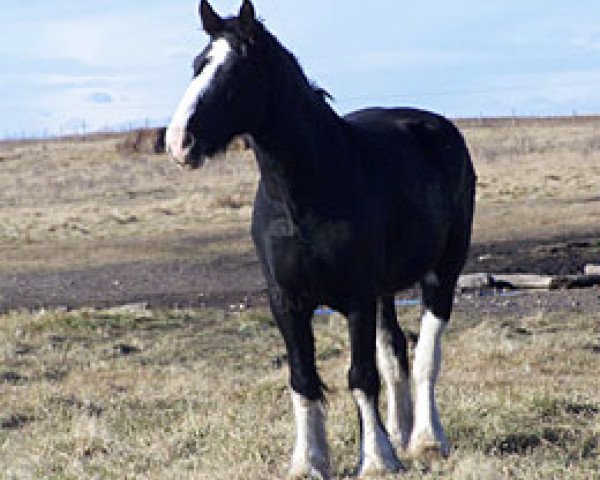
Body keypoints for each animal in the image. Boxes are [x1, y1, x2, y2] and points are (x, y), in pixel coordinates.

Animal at [165, 1, 474, 478]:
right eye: (198, 65)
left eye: (235, 73)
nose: (179, 142)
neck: (305, 194)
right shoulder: (287, 300)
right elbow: (304, 378)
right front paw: (309, 460)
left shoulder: (357, 297)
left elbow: (361, 375)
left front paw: (377, 459)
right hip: (386, 291)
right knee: (396, 353)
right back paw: (401, 431)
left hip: (441, 273)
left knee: (426, 355)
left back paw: (427, 439)